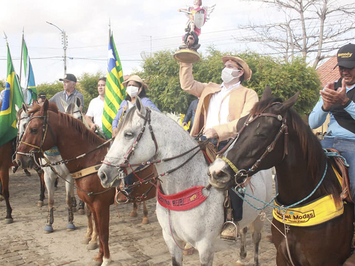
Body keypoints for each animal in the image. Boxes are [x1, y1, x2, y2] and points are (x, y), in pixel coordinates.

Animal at [14, 100, 156, 266]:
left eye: (33, 129)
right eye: (23, 126)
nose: (19, 159)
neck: (90, 160)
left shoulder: (100, 204)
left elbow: (103, 232)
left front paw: (106, 259)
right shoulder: (92, 203)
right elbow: (98, 229)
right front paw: (98, 256)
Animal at [97, 97, 272, 266]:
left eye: (128, 134)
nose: (102, 174)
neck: (182, 190)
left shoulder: (205, 246)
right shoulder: (171, 240)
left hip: (260, 215)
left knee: (256, 239)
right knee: (243, 230)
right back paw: (241, 256)